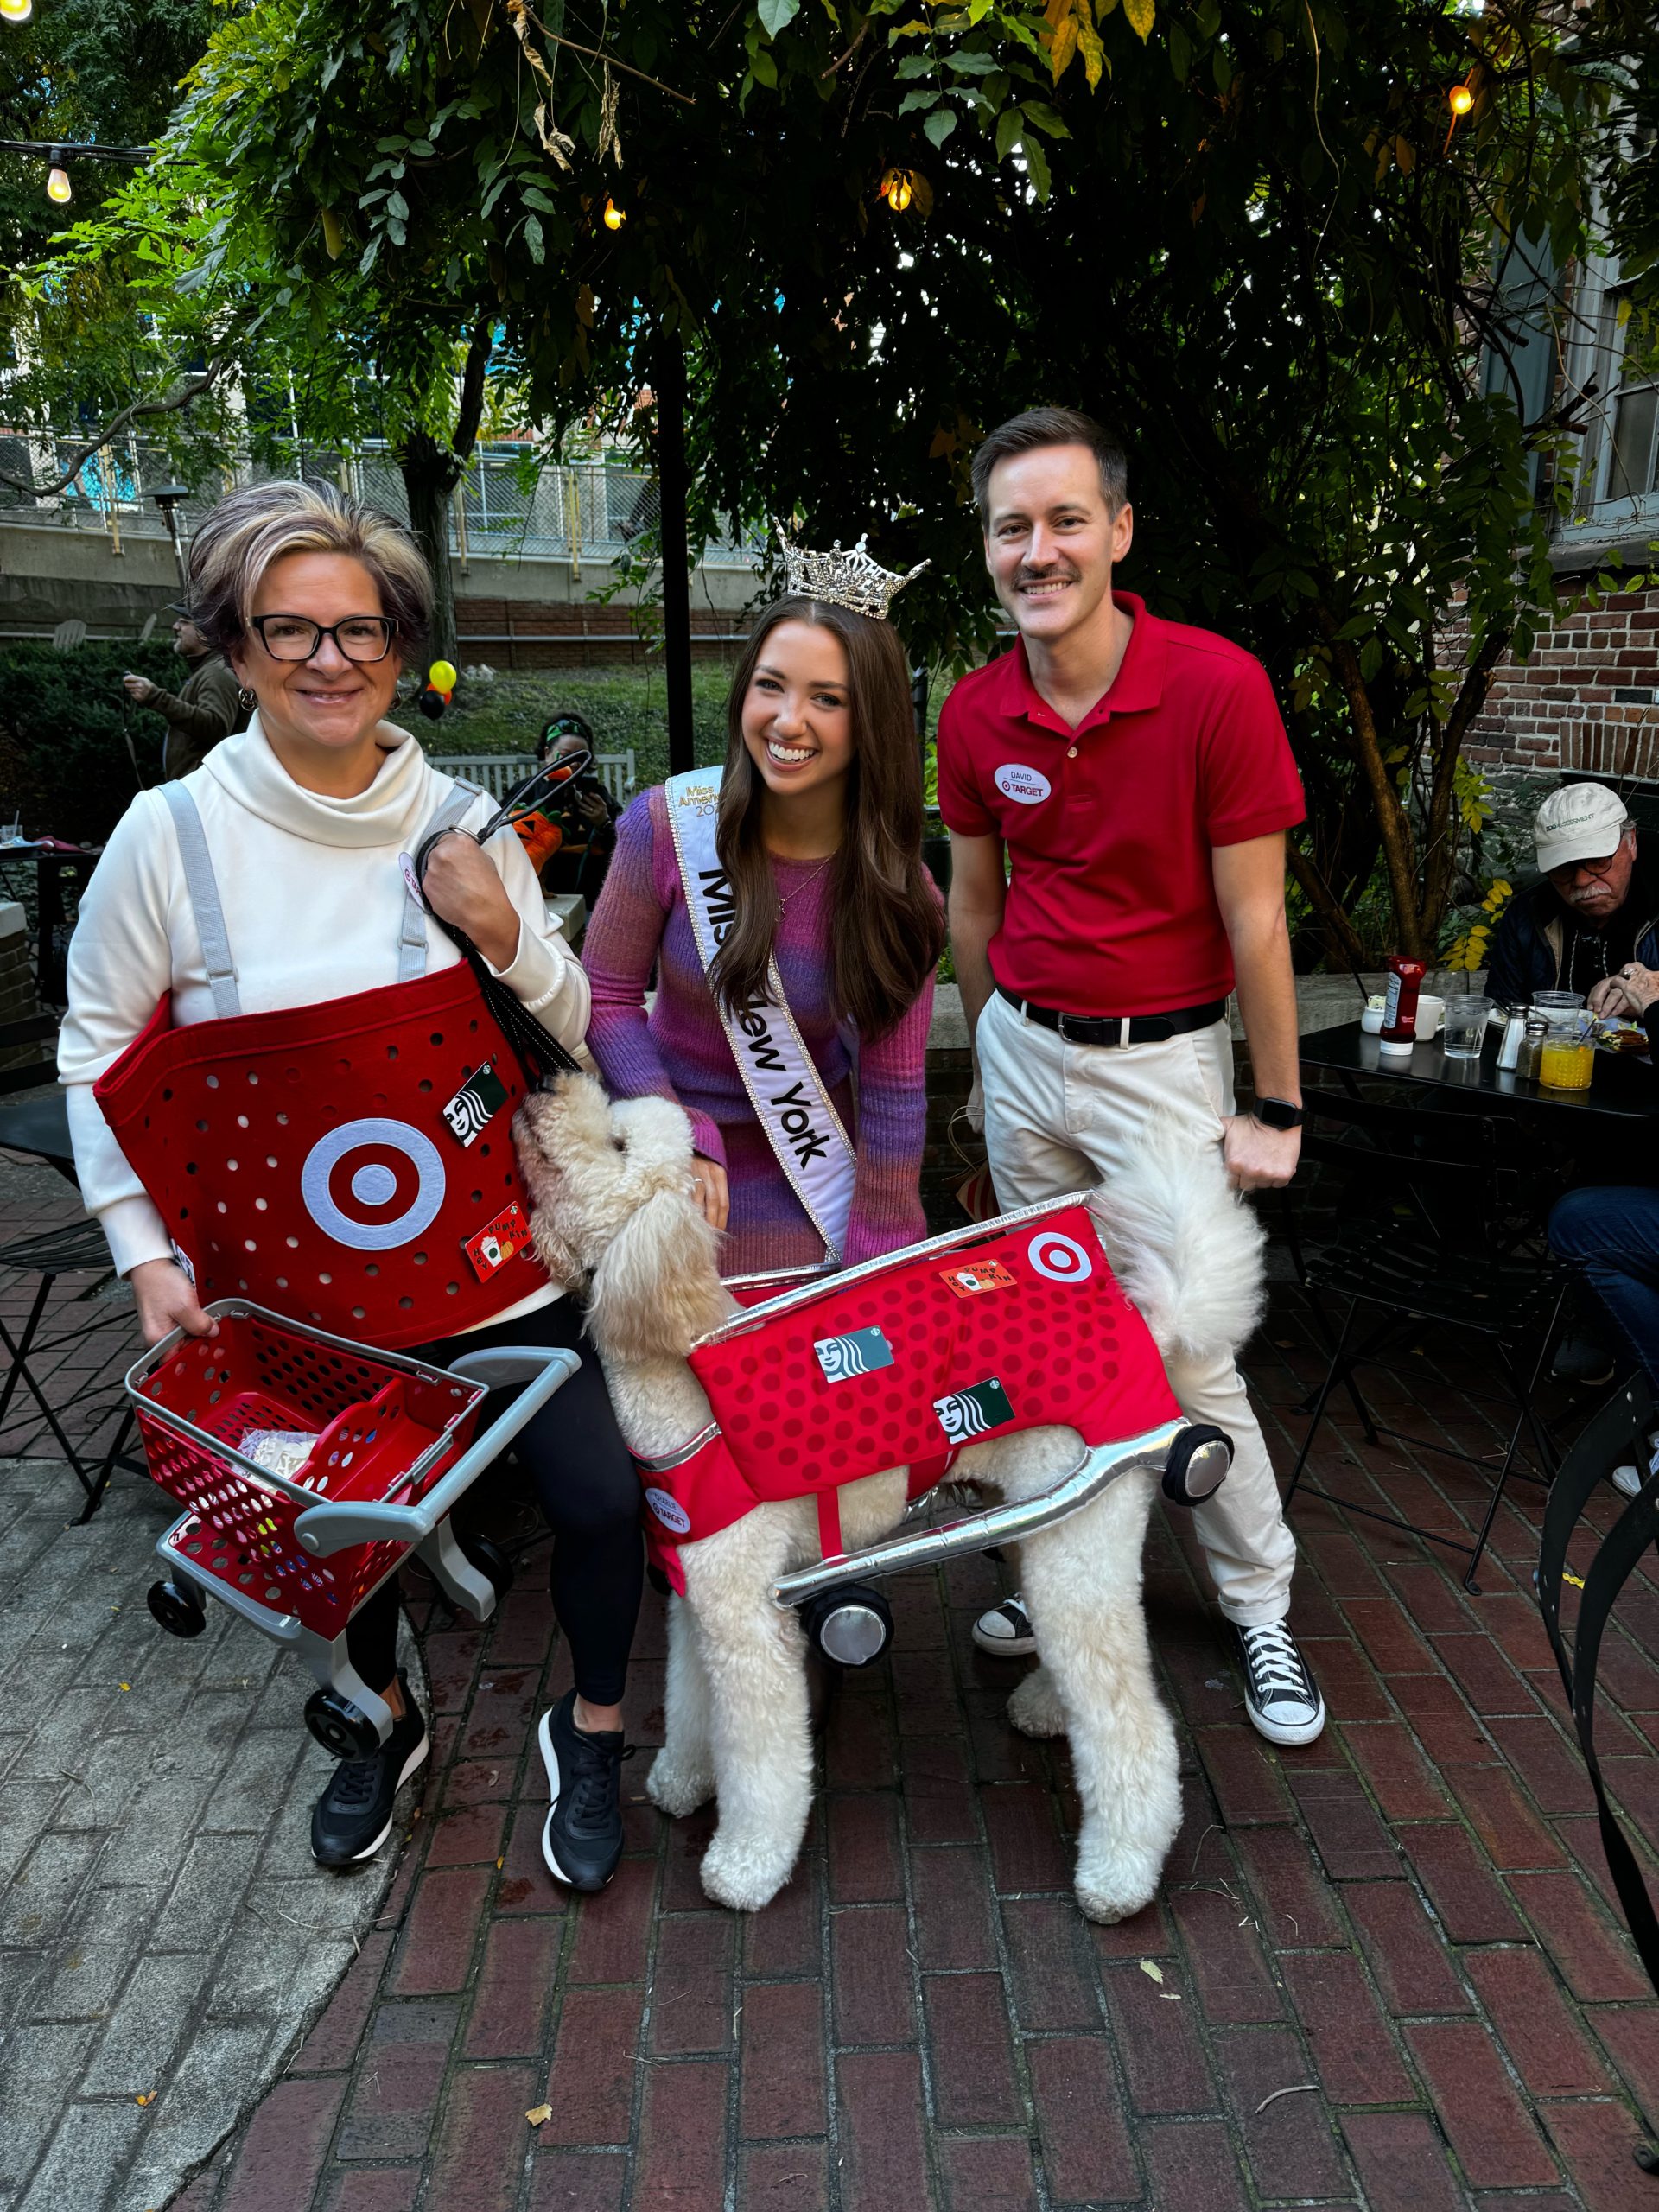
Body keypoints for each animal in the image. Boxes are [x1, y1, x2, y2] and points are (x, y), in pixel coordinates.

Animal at [512, 1071, 1265, 1920]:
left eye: (616, 1144)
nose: (545, 1081)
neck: (677, 1373)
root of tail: (1148, 1325)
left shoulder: (748, 1622)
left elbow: (762, 1759)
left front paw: (746, 1866)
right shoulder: (695, 1598)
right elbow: (688, 1702)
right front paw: (683, 1781)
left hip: (1082, 1527)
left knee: (1128, 1718)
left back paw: (1120, 1876)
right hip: (1049, 1525)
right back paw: (1045, 1707)